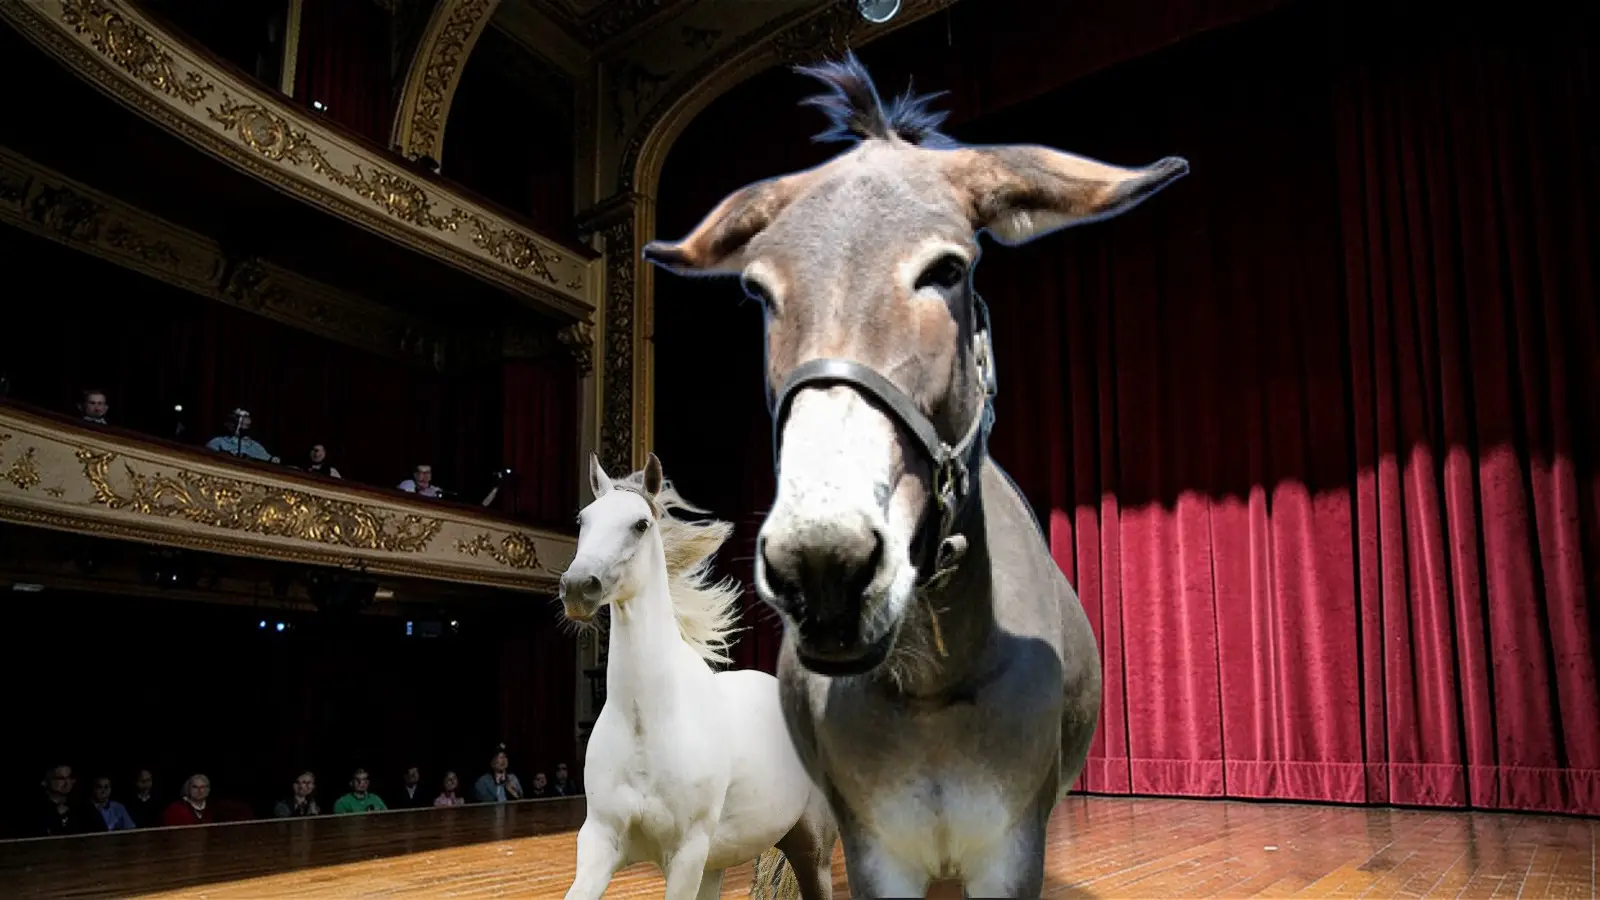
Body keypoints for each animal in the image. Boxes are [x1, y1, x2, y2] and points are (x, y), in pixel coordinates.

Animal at [557, 452, 836, 900]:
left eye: (640, 524)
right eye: (583, 519)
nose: (579, 587)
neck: (647, 727)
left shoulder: (686, 854)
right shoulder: (600, 841)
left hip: (812, 846)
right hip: (718, 861)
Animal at [641, 54, 1187, 896]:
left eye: (949, 269)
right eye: (758, 292)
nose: (823, 566)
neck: (933, 679)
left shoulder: (1012, 847)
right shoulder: (874, 847)